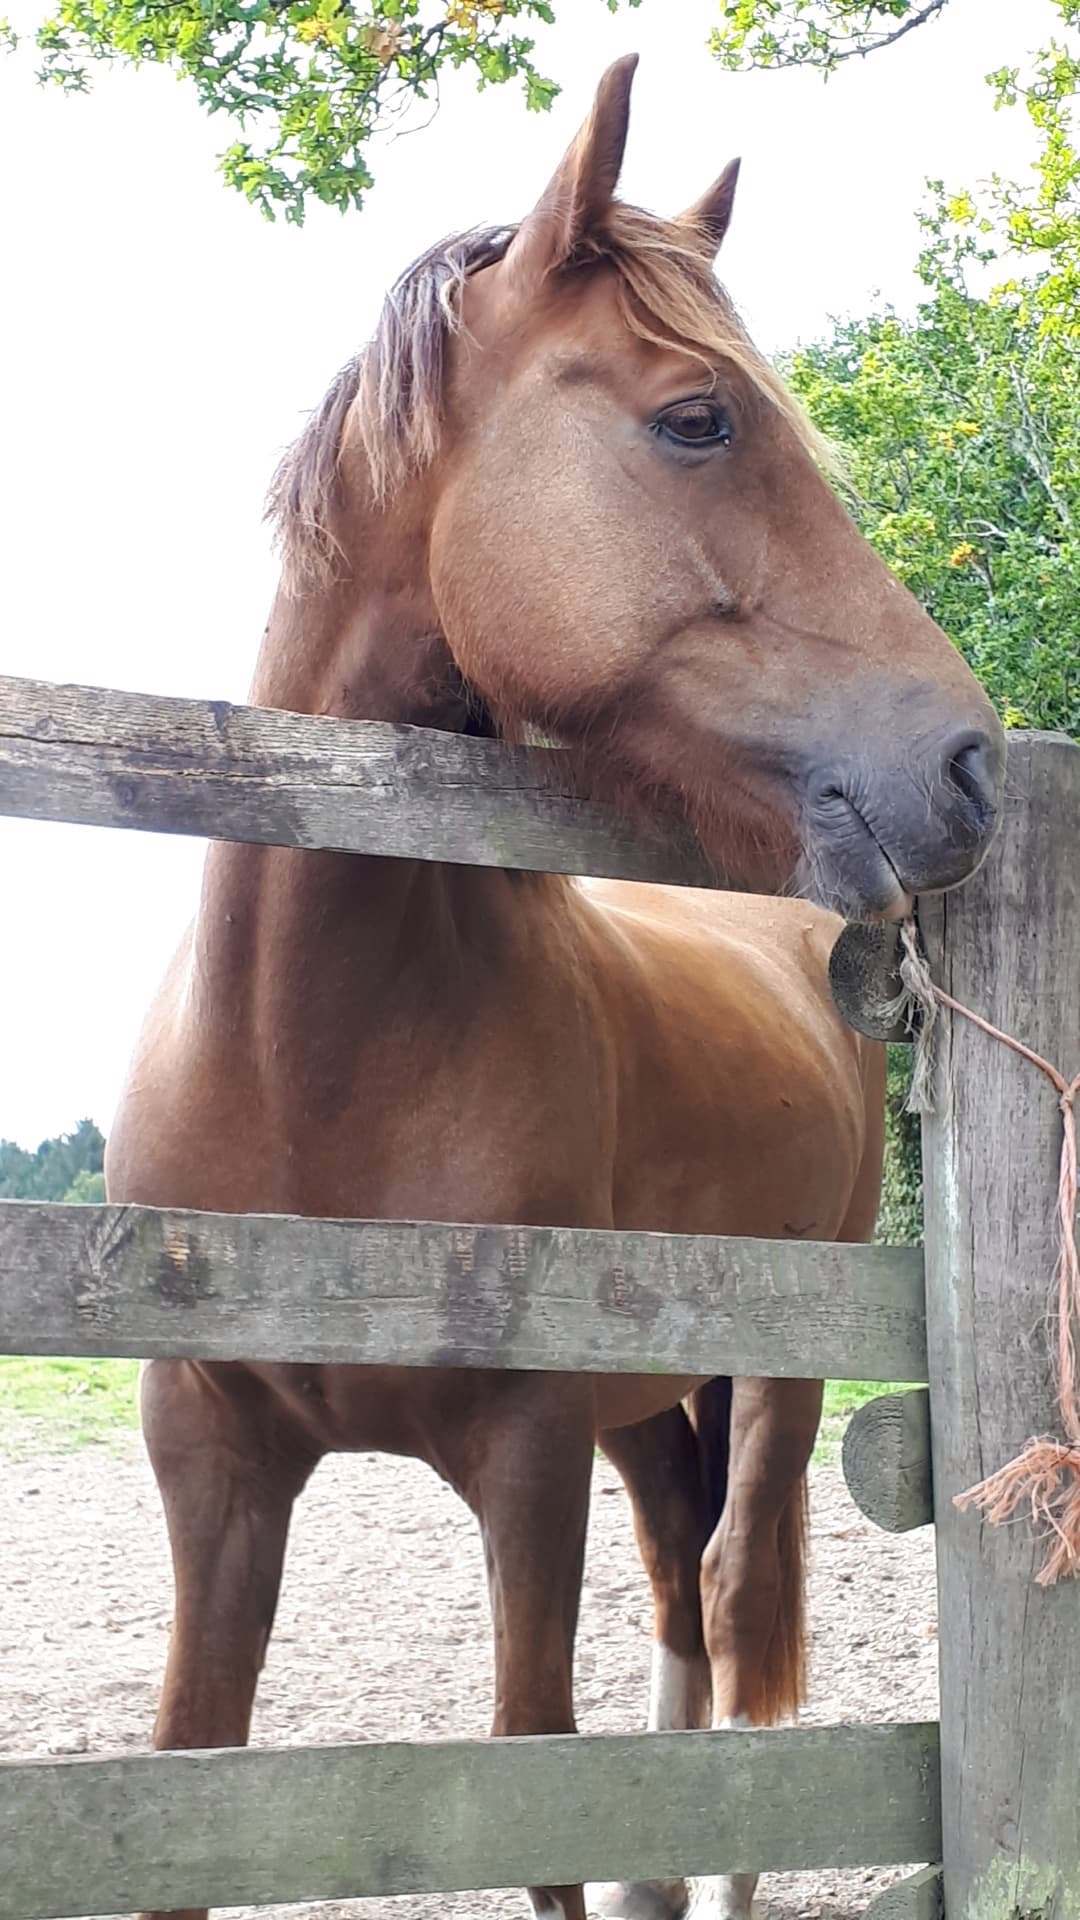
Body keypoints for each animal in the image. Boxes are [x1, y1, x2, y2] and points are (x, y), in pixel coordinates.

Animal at [107, 56, 999, 1920]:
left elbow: (535, 1789)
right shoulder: (212, 1464)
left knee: (734, 1598)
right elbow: (192, 1783)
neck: (308, 1060)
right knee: (684, 1595)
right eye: (698, 419)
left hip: (769, 1379)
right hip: (644, 1416)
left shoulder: (522, 1461)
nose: (970, 762)